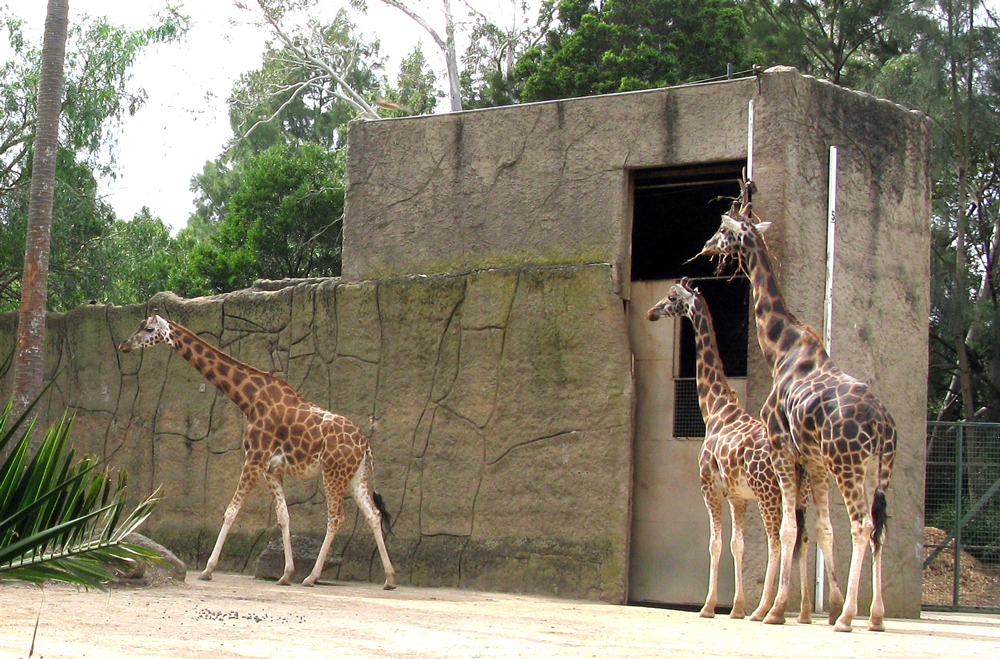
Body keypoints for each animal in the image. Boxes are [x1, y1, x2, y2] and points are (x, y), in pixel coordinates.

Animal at [119, 312, 396, 590]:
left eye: (150, 329)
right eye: (139, 326)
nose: (124, 345)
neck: (249, 400)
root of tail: (365, 444)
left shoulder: (253, 459)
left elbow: (231, 511)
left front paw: (208, 569)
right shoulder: (271, 469)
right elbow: (284, 517)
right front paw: (286, 574)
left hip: (333, 473)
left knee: (336, 518)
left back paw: (312, 577)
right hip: (355, 476)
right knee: (373, 514)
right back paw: (389, 578)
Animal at [647, 278, 812, 622]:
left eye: (671, 297)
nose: (651, 312)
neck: (715, 409)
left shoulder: (709, 487)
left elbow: (715, 543)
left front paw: (709, 606)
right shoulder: (738, 496)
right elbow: (738, 545)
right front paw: (735, 607)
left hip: (769, 492)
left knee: (778, 540)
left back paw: (768, 609)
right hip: (800, 494)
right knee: (803, 539)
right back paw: (802, 612)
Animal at [698, 188, 896, 632]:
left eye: (723, 229)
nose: (706, 246)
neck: (781, 350)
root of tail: (881, 425)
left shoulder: (784, 450)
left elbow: (789, 530)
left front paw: (773, 610)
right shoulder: (814, 462)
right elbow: (821, 528)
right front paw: (812, 606)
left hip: (848, 464)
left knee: (861, 525)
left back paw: (848, 617)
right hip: (879, 470)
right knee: (878, 529)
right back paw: (874, 616)